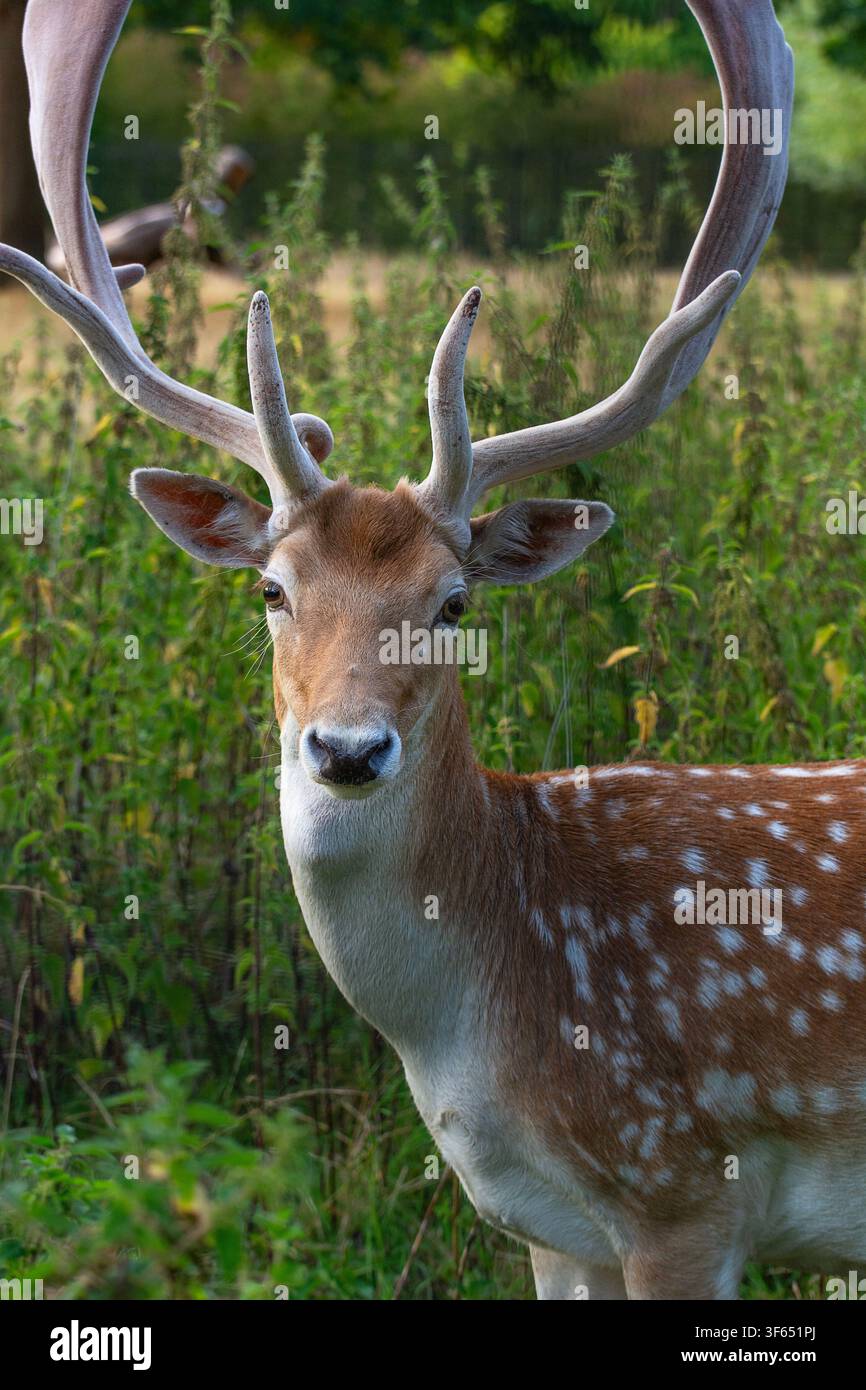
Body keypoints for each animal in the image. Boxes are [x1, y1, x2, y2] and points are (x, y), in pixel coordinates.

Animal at [8, 0, 863, 1304]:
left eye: (453, 601)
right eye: (270, 588)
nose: (347, 749)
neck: (476, 1026)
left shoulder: (681, 1184)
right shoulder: (548, 1226)